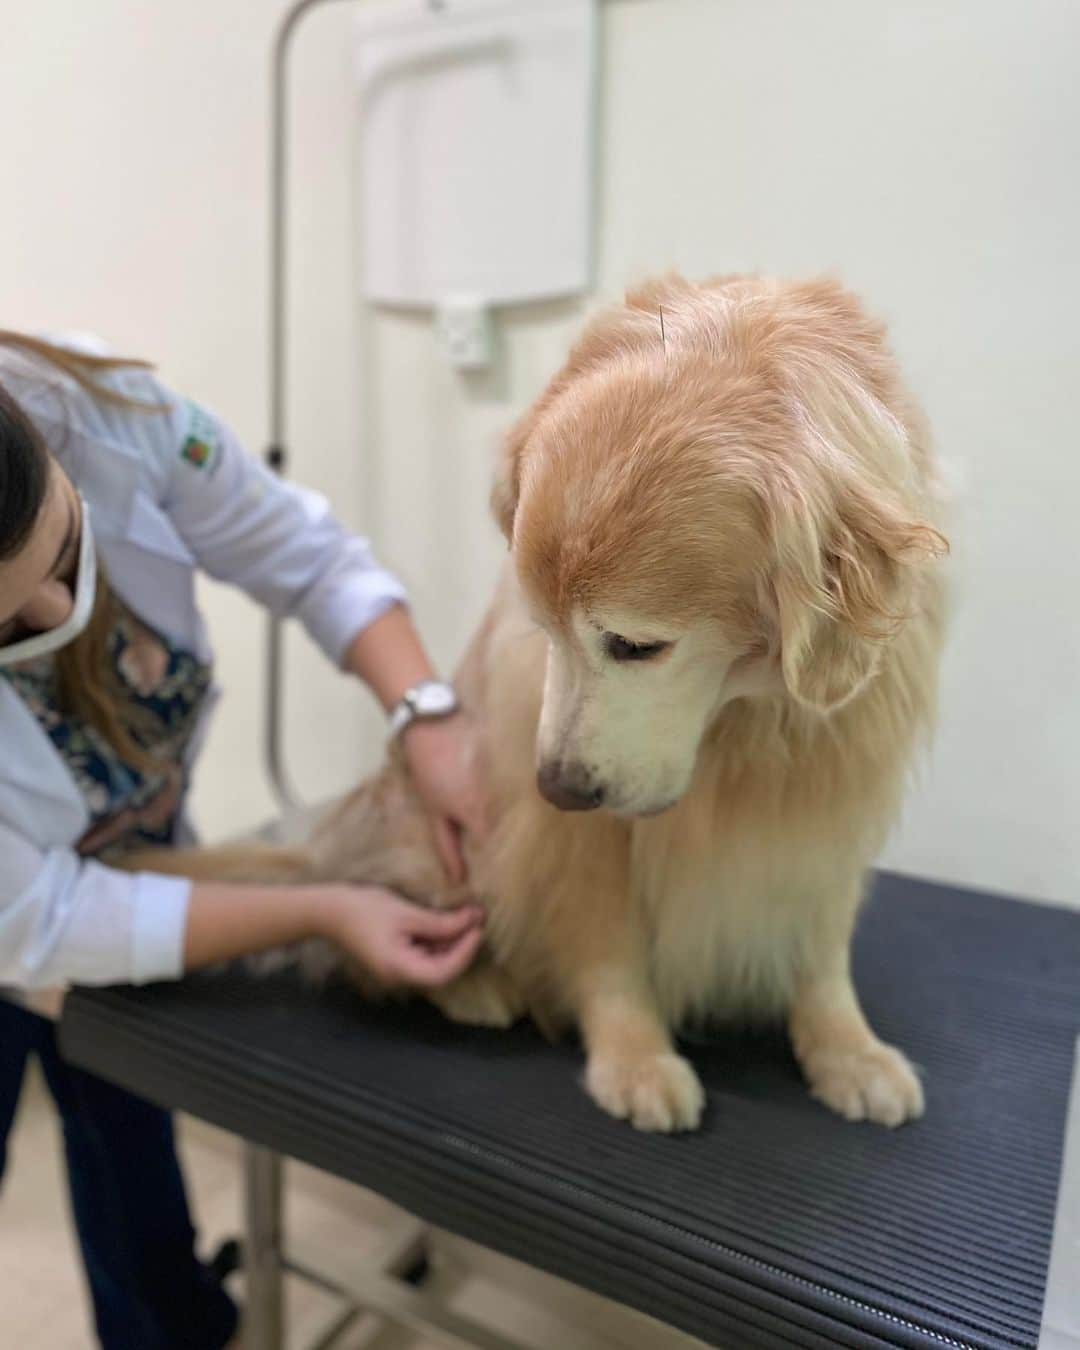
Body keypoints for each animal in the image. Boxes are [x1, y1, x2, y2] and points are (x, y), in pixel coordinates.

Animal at [126, 279, 945, 1134]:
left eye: (635, 645)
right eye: (542, 625)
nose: (557, 786)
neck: (741, 719)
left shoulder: (831, 811)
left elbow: (822, 951)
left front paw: (847, 1050)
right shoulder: (572, 839)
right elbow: (606, 945)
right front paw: (635, 1057)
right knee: (372, 942)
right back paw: (472, 983)